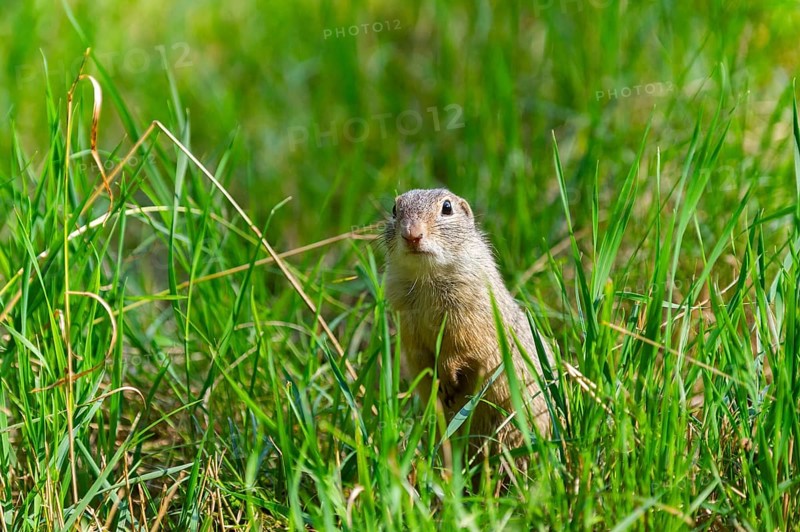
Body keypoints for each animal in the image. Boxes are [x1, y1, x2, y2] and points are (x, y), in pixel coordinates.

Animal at [382, 188, 553, 463]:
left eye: (447, 208)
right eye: (395, 209)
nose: (412, 235)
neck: (426, 278)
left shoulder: (468, 319)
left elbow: (461, 349)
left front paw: (447, 377)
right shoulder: (408, 326)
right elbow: (419, 355)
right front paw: (434, 380)